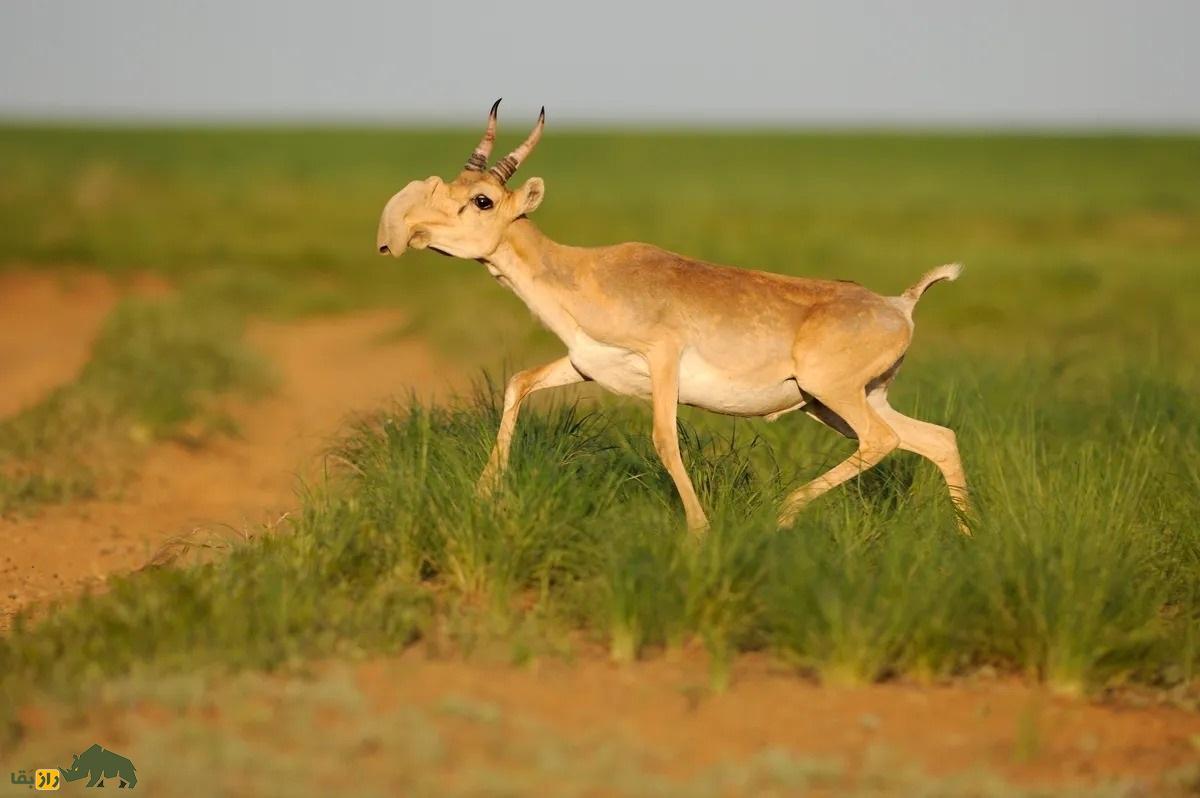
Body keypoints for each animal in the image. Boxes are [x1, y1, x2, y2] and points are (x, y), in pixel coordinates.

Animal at [376, 101, 974, 535]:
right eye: (451, 186)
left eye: (481, 200)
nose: (406, 233)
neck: (585, 272)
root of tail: (899, 305)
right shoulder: (585, 365)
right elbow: (518, 383)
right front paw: (484, 495)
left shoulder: (662, 361)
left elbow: (665, 439)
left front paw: (700, 531)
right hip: (840, 402)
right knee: (936, 439)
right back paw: (967, 538)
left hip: (832, 395)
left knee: (883, 441)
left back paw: (783, 513)